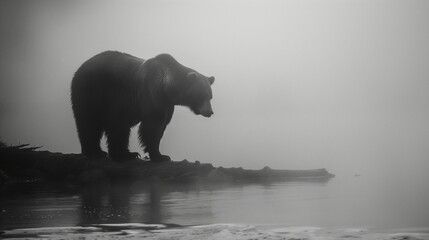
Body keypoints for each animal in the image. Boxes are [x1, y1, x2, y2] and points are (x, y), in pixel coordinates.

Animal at [70, 51, 214, 162]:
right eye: (202, 95)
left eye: (210, 96)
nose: (210, 112)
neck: (167, 88)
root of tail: (81, 67)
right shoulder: (151, 94)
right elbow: (152, 127)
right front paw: (160, 156)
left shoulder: (167, 105)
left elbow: (161, 126)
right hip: (93, 92)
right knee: (91, 123)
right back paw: (104, 153)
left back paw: (118, 153)